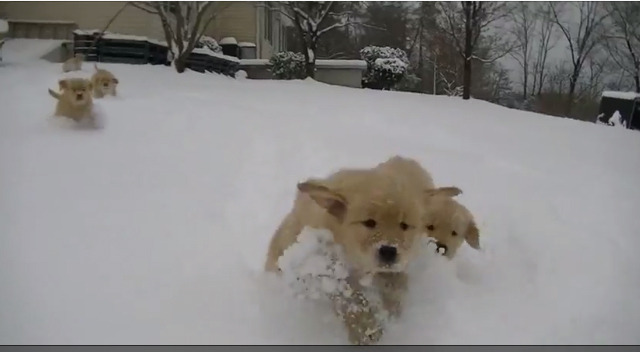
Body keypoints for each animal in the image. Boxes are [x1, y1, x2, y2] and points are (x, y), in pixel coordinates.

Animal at [264, 156, 460, 344]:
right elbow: (350, 298)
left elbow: (396, 286)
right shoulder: (324, 269)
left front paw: (389, 311)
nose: (389, 251)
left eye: (404, 225)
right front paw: (365, 329)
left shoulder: (399, 265)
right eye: (369, 222)